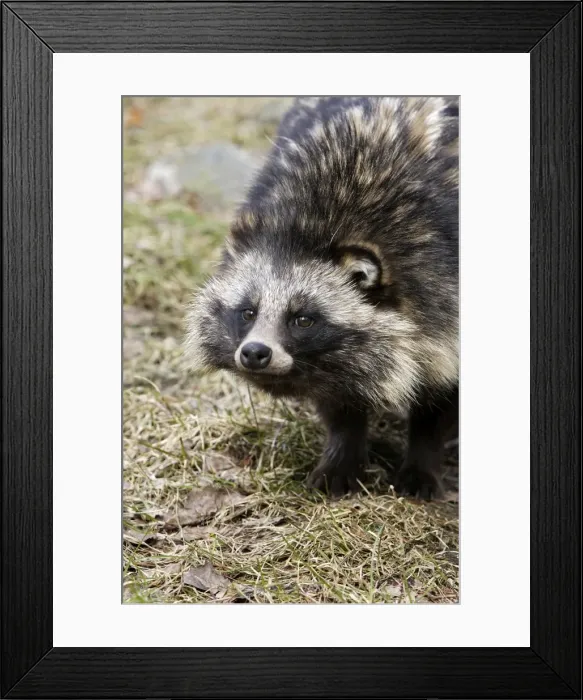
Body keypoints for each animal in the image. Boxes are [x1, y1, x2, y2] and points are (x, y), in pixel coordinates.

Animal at [186, 97, 459, 498]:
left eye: (303, 319)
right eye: (248, 312)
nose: (254, 352)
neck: (305, 228)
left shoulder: (445, 284)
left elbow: (440, 395)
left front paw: (423, 460)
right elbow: (340, 401)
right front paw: (343, 455)